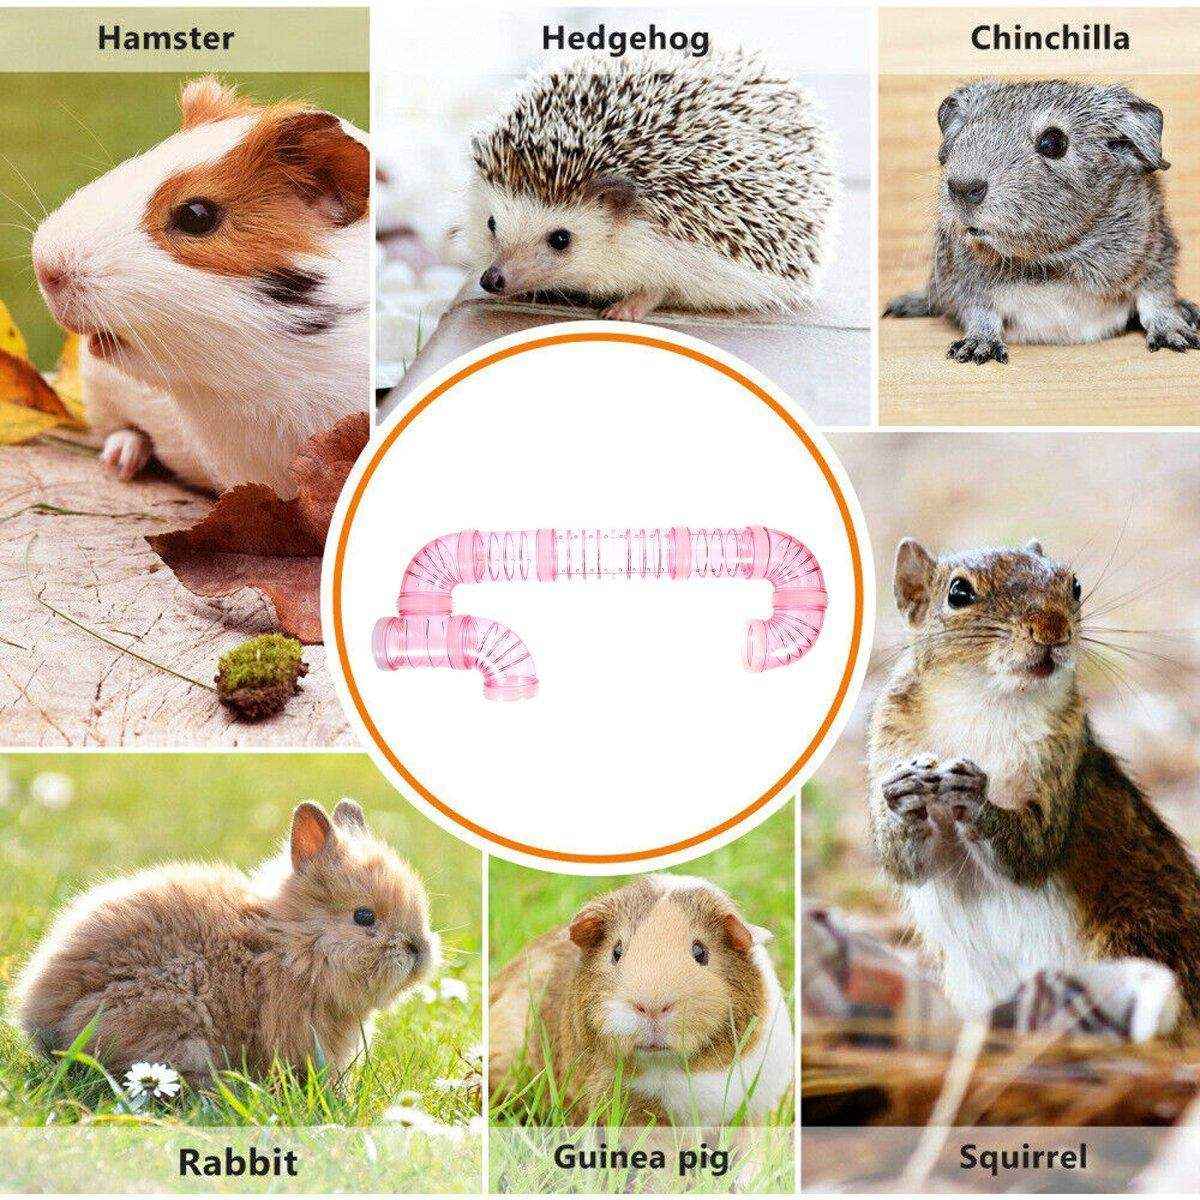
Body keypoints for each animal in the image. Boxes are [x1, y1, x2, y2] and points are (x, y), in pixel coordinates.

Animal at [868, 538, 1200, 1018]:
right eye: (958, 593)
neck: (985, 701)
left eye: (1074, 585)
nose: (1052, 627)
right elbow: (902, 862)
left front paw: (976, 799)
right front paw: (903, 794)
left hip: (1138, 936)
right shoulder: (889, 737)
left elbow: (1033, 850)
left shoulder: (1065, 755)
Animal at [884, 80, 1200, 363]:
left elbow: (1156, 299)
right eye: (963, 132)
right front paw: (976, 348)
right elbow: (980, 313)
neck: (1048, 261)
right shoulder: (963, 282)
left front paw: (1177, 335)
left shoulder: (1156, 256)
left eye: (1053, 142)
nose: (962, 187)